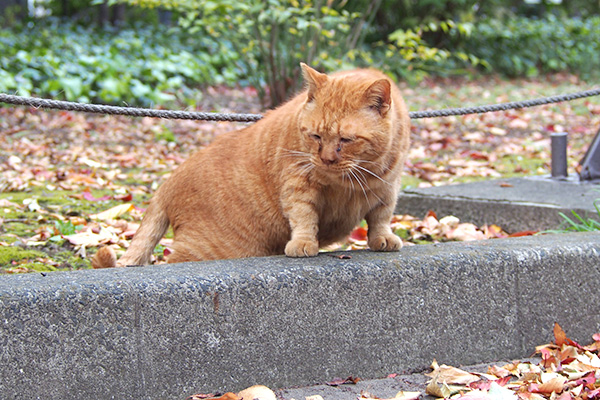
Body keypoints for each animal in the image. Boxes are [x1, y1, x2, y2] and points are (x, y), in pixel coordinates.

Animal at [92, 63, 412, 268]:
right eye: (316, 136)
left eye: (346, 139)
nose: (326, 159)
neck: (350, 180)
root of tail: (168, 182)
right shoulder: (297, 181)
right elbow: (304, 216)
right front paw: (303, 243)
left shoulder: (388, 187)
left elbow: (381, 217)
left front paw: (382, 239)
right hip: (213, 248)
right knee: (168, 261)